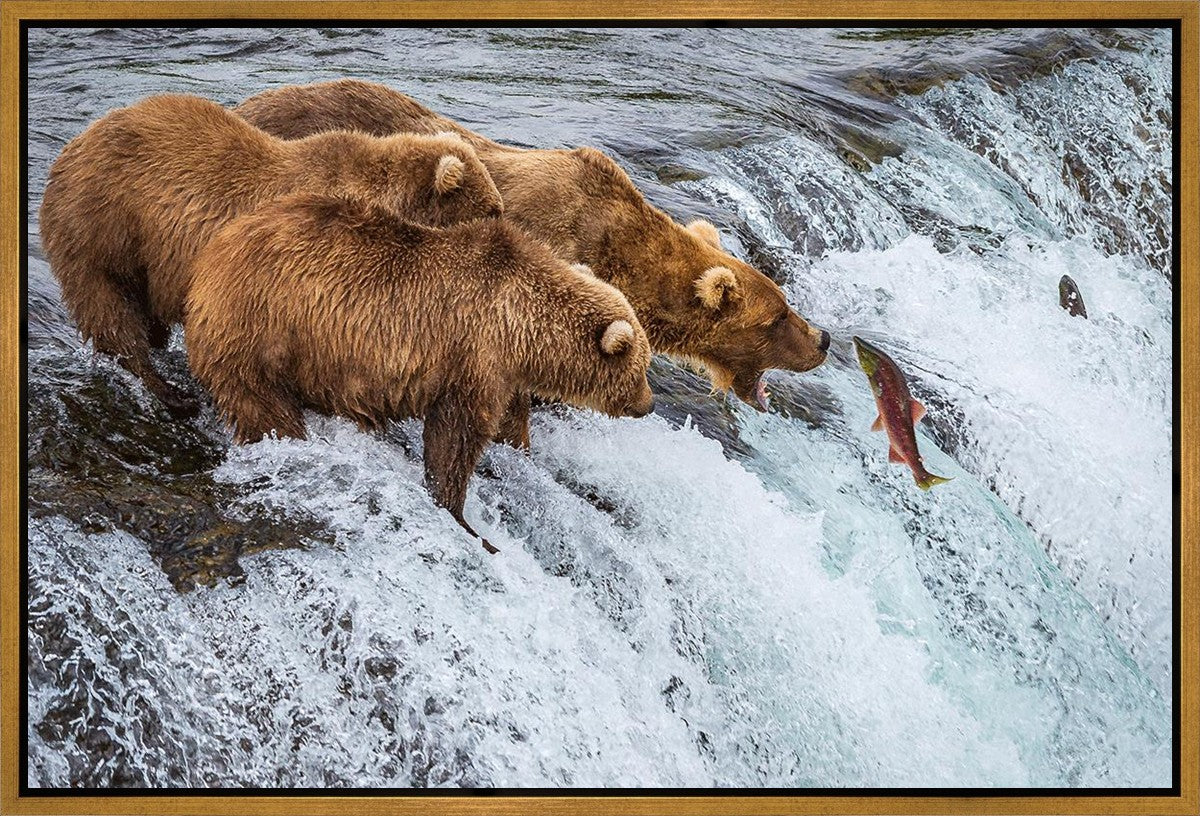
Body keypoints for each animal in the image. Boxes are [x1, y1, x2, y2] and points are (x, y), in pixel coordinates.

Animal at [39, 92, 504, 418]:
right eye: (492, 209)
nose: (505, 224)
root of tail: (71, 147)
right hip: (103, 227)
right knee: (109, 310)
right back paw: (170, 392)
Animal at [184, 191, 655, 554]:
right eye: (641, 367)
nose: (648, 405)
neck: (522, 326)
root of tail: (210, 256)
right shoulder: (473, 355)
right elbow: (455, 438)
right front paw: (465, 519)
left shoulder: (503, 373)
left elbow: (508, 423)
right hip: (261, 329)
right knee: (263, 405)